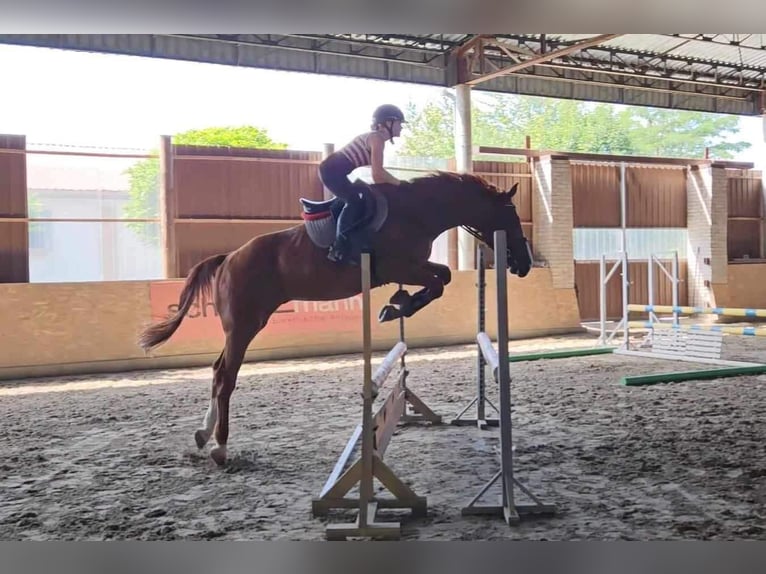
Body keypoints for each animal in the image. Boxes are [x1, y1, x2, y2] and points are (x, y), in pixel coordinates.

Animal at [140, 169, 536, 466]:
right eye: (510, 216)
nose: (524, 264)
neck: (417, 212)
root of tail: (228, 258)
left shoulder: (413, 267)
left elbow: (443, 277)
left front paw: (397, 304)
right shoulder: (400, 266)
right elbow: (439, 281)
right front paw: (397, 306)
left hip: (244, 325)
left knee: (217, 370)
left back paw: (203, 435)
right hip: (245, 325)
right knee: (226, 377)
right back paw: (220, 447)